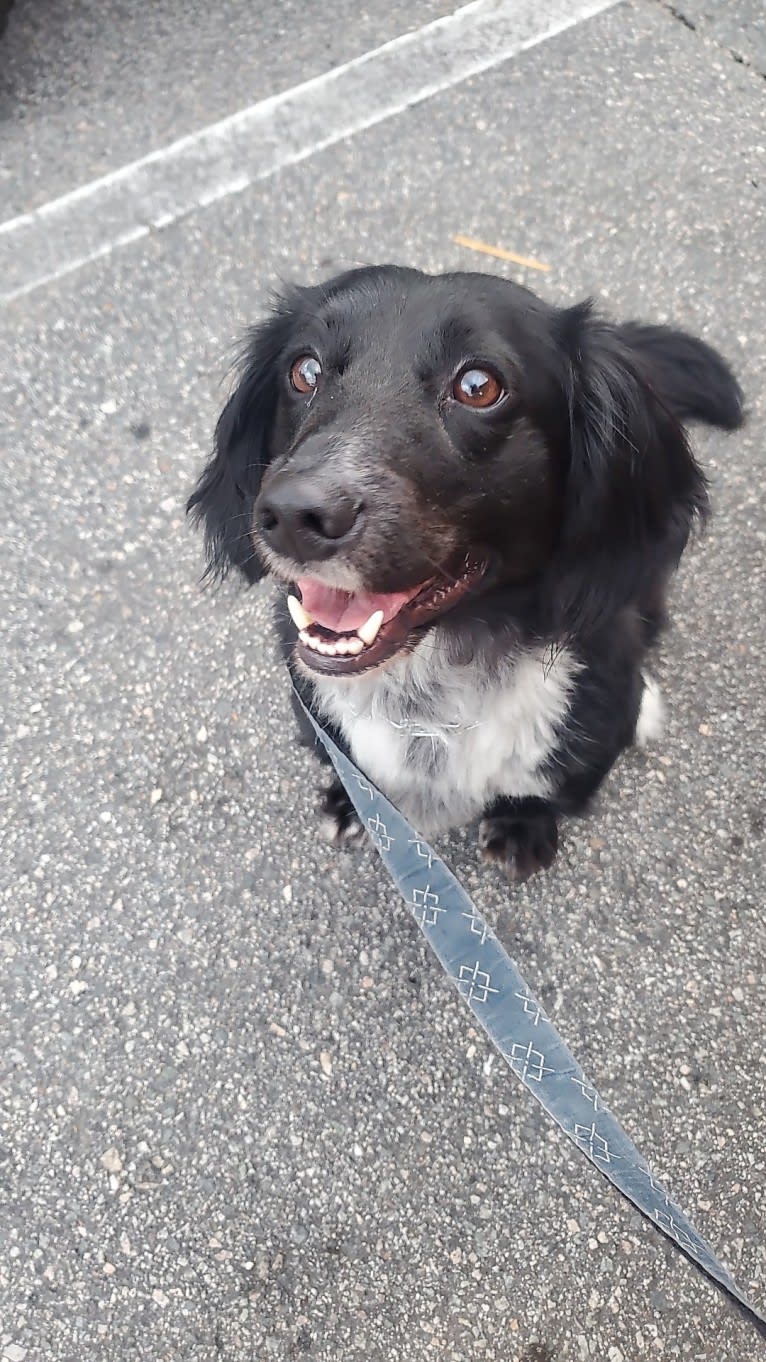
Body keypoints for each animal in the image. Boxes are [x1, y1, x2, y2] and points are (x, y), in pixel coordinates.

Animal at [188, 265, 741, 882]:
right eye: (304, 370)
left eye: (479, 386)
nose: (292, 516)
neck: (429, 691)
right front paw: (348, 801)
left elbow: (541, 788)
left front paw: (523, 825)